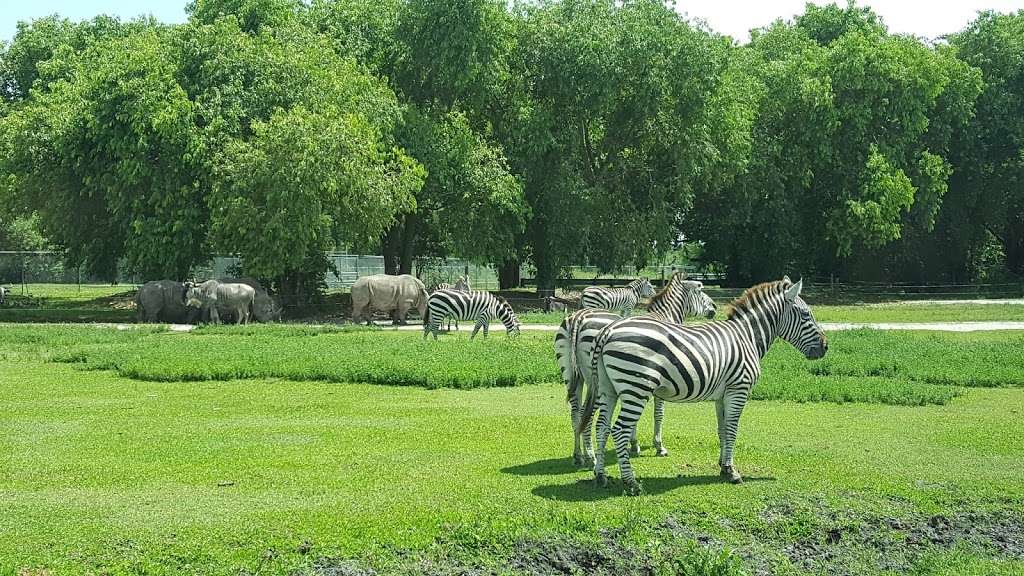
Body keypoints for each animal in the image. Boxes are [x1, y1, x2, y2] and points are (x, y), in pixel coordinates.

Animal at [557, 270, 716, 463]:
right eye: (700, 289)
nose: (715, 308)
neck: (664, 315)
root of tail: (578, 318)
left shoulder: (636, 379)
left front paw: (634, 444)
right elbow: (658, 413)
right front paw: (658, 446)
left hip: (571, 375)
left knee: (576, 413)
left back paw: (578, 455)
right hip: (595, 380)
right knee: (586, 414)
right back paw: (591, 456)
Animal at [581, 276, 827, 491]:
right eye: (806, 314)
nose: (825, 347)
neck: (747, 336)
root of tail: (608, 330)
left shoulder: (722, 394)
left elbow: (722, 429)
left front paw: (723, 466)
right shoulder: (739, 389)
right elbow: (733, 429)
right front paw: (732, 472)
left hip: (608, 388)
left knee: (601, 426)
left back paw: (600, 476)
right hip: (636, 387)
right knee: (619, 429)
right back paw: (631, 482)